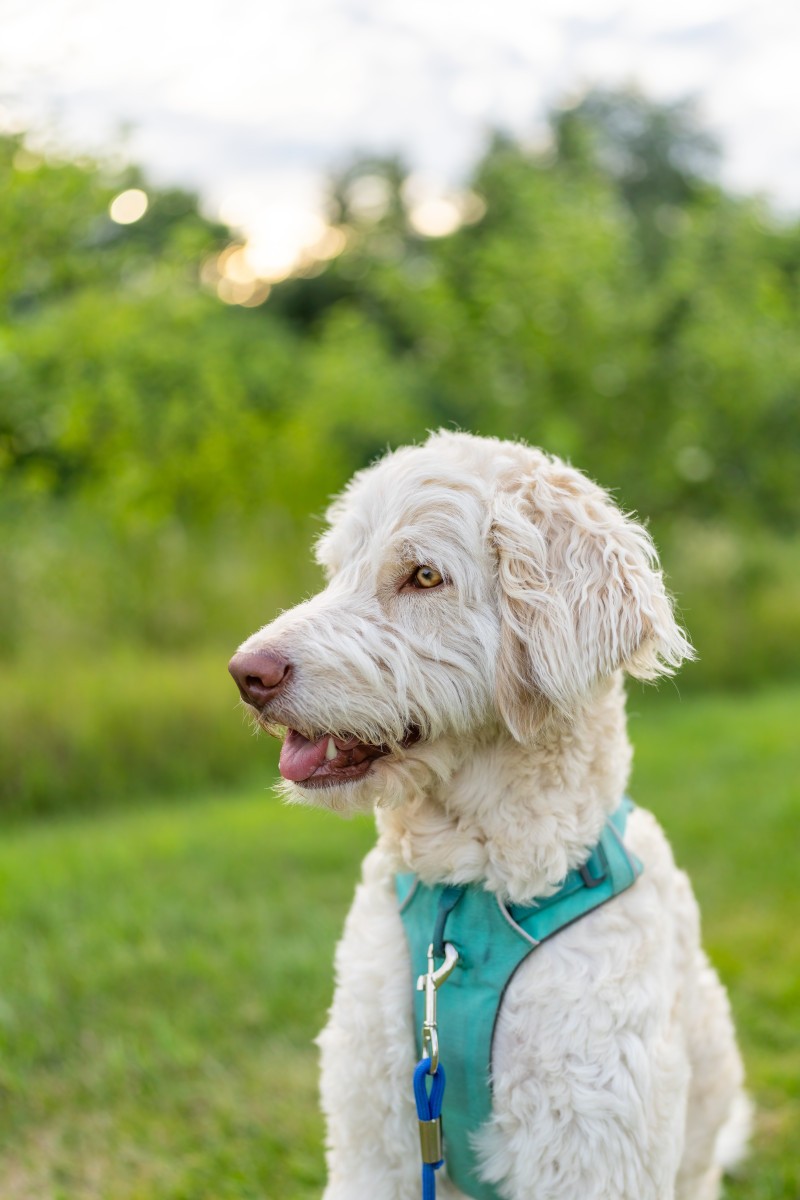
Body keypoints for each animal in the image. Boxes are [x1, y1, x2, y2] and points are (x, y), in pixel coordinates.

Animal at [228, 431, 749, 1200]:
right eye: (335, 571)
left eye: (423, 576)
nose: (245, 673)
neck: (469, 892)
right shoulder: (373, 1142)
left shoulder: (589, 1151)